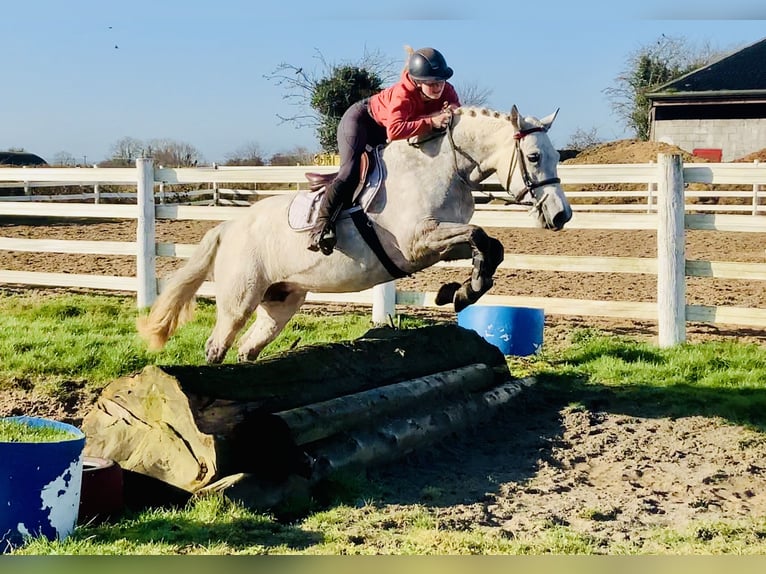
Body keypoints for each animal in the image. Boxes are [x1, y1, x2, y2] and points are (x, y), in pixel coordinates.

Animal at [137, 105, 572, 364]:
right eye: (534, 157)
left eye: (556, 156)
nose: (561, 215)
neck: (443, 165)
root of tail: (228, 227)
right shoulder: (418, 242)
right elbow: (481, 236)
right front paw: (461, 292)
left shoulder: (440, 243)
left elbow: (489, 245)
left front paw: (460, 291)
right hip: (238, 299)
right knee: (217, 345)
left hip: (281, 301)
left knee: (248, 347)